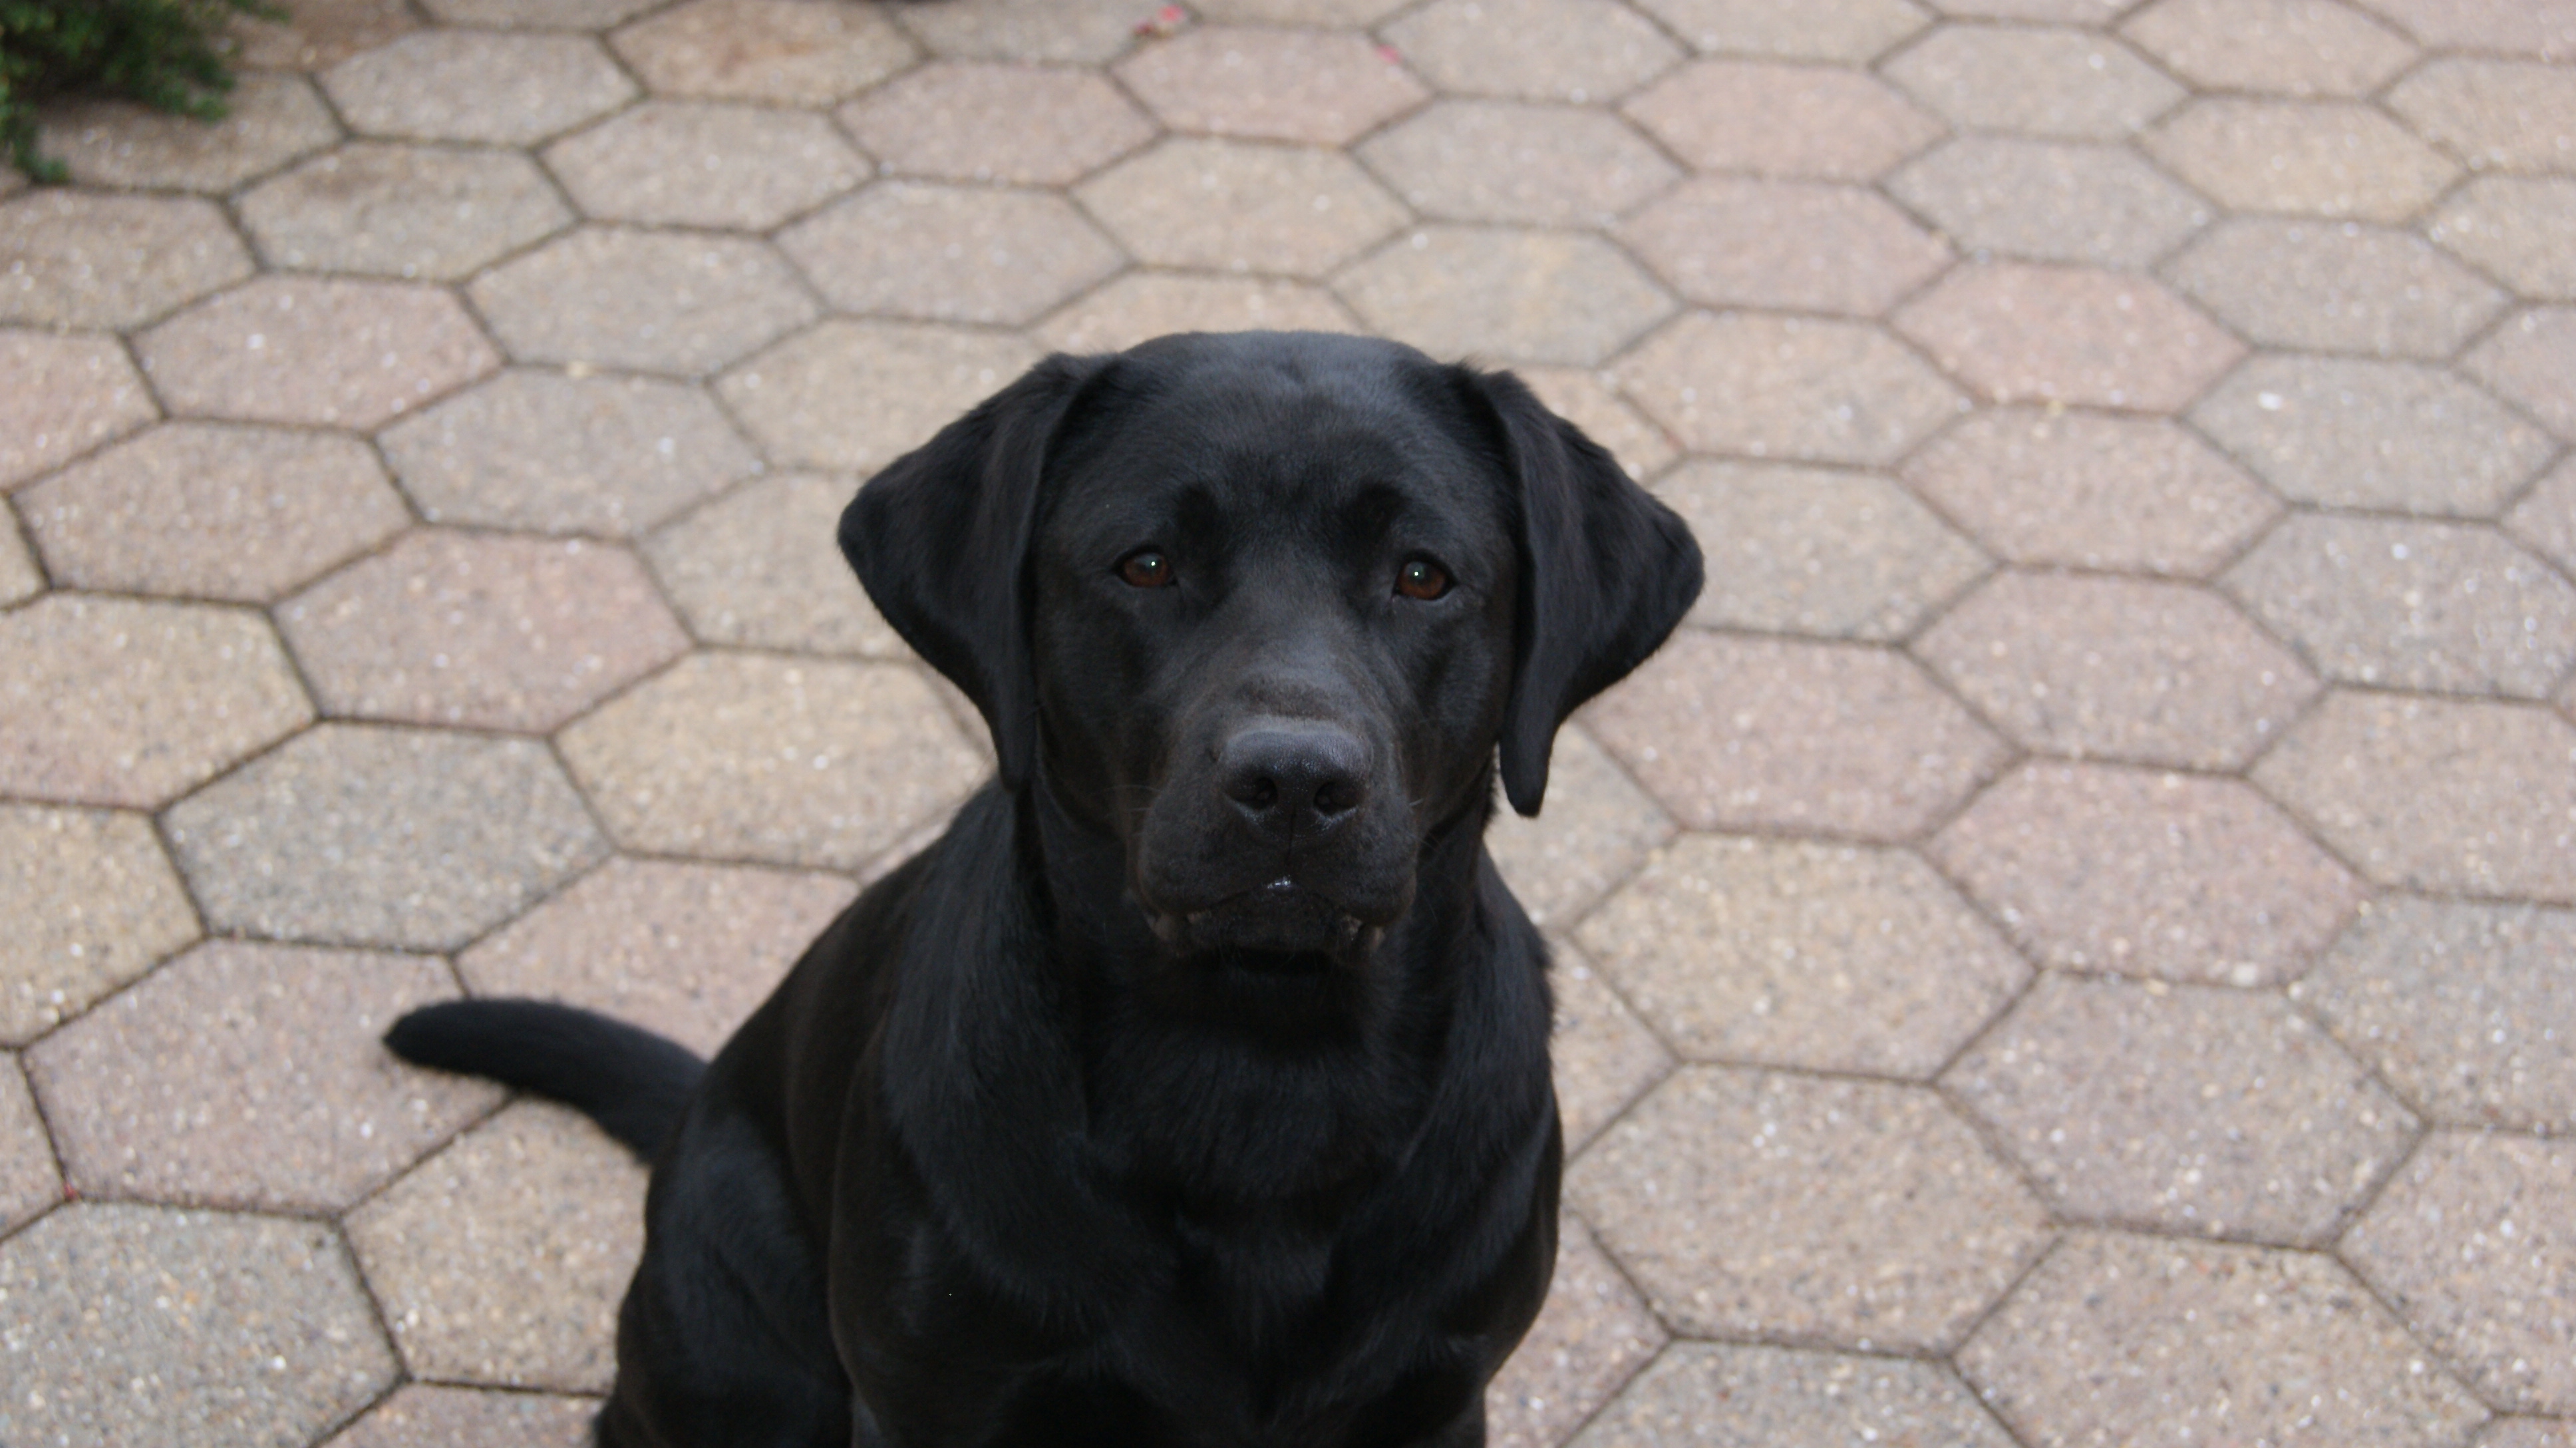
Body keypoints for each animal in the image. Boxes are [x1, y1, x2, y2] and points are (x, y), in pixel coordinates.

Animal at [388, 330, 1702, 1448]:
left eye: (1424, 577)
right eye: (1147, 564)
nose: (1293, 781)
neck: (1255, 1067)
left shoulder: (1434, 1394)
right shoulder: (938, 1401)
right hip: (738, 1359)